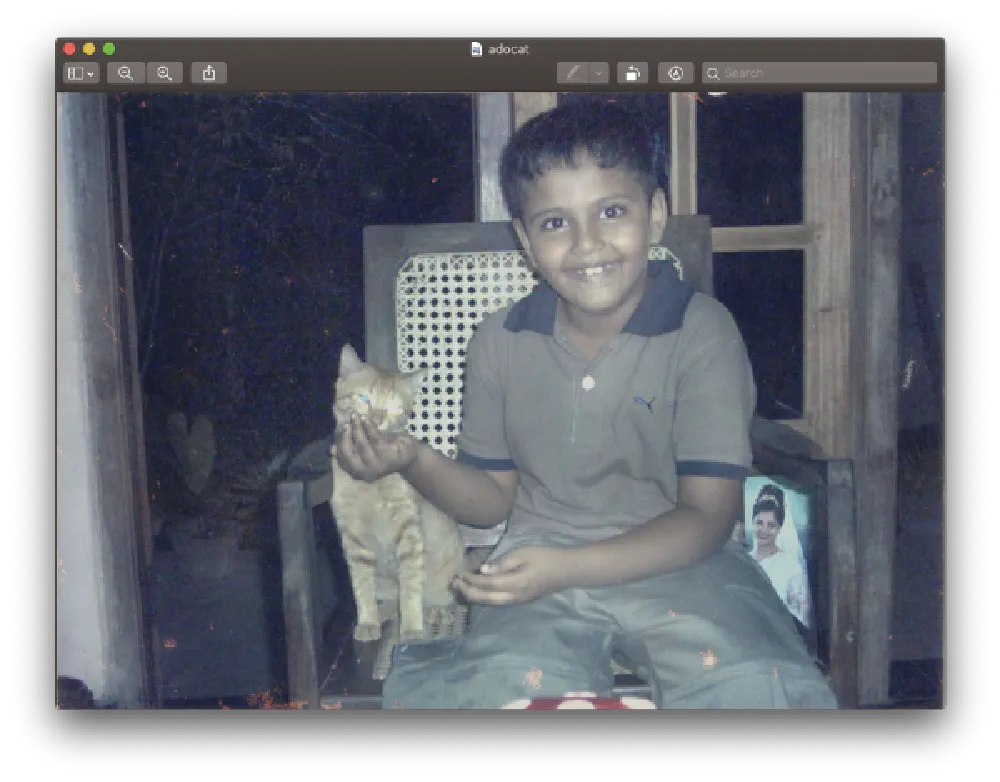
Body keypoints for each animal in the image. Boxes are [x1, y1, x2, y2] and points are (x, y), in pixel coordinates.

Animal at [332, 344, 464, 644]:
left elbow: (411, 588)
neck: (369, 485)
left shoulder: (409, 533)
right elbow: (362, 588)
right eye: (364, 397)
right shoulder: (353, 540)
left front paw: (413, 629)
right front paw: (368, 621)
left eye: (394, 407)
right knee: (391, 599)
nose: (378, 419)